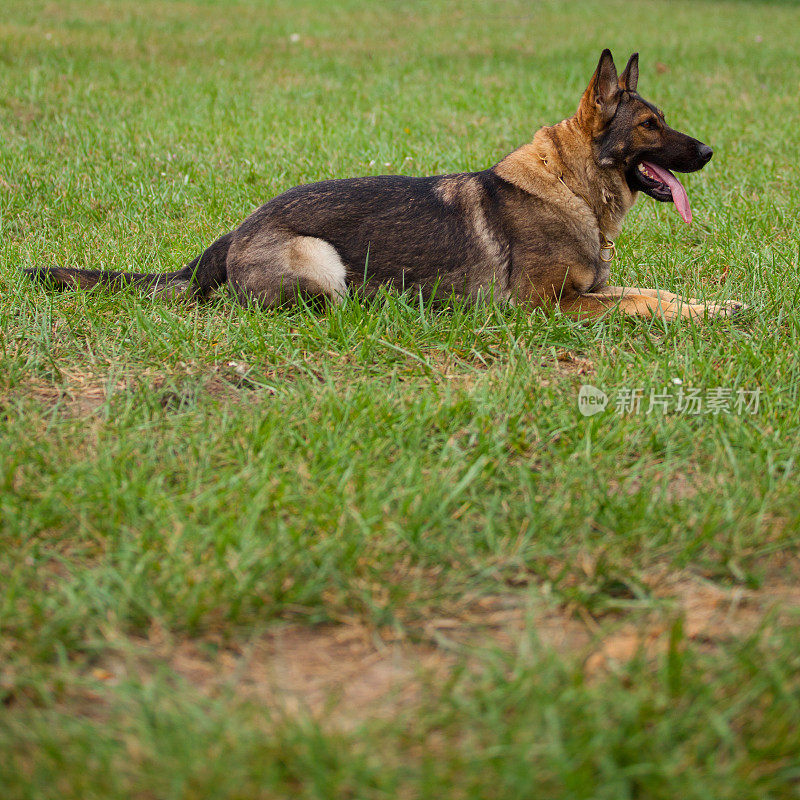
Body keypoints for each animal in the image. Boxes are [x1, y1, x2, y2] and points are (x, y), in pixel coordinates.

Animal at [25, 48, 740, 318]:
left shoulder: (591, 289)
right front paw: (700, 313)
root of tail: (233, 233)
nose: (710, 150)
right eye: (650, 126)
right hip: (325, 266)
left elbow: (654, 292)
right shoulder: (550, 306)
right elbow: (641, 305)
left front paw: (715, 306)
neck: (569, 185)